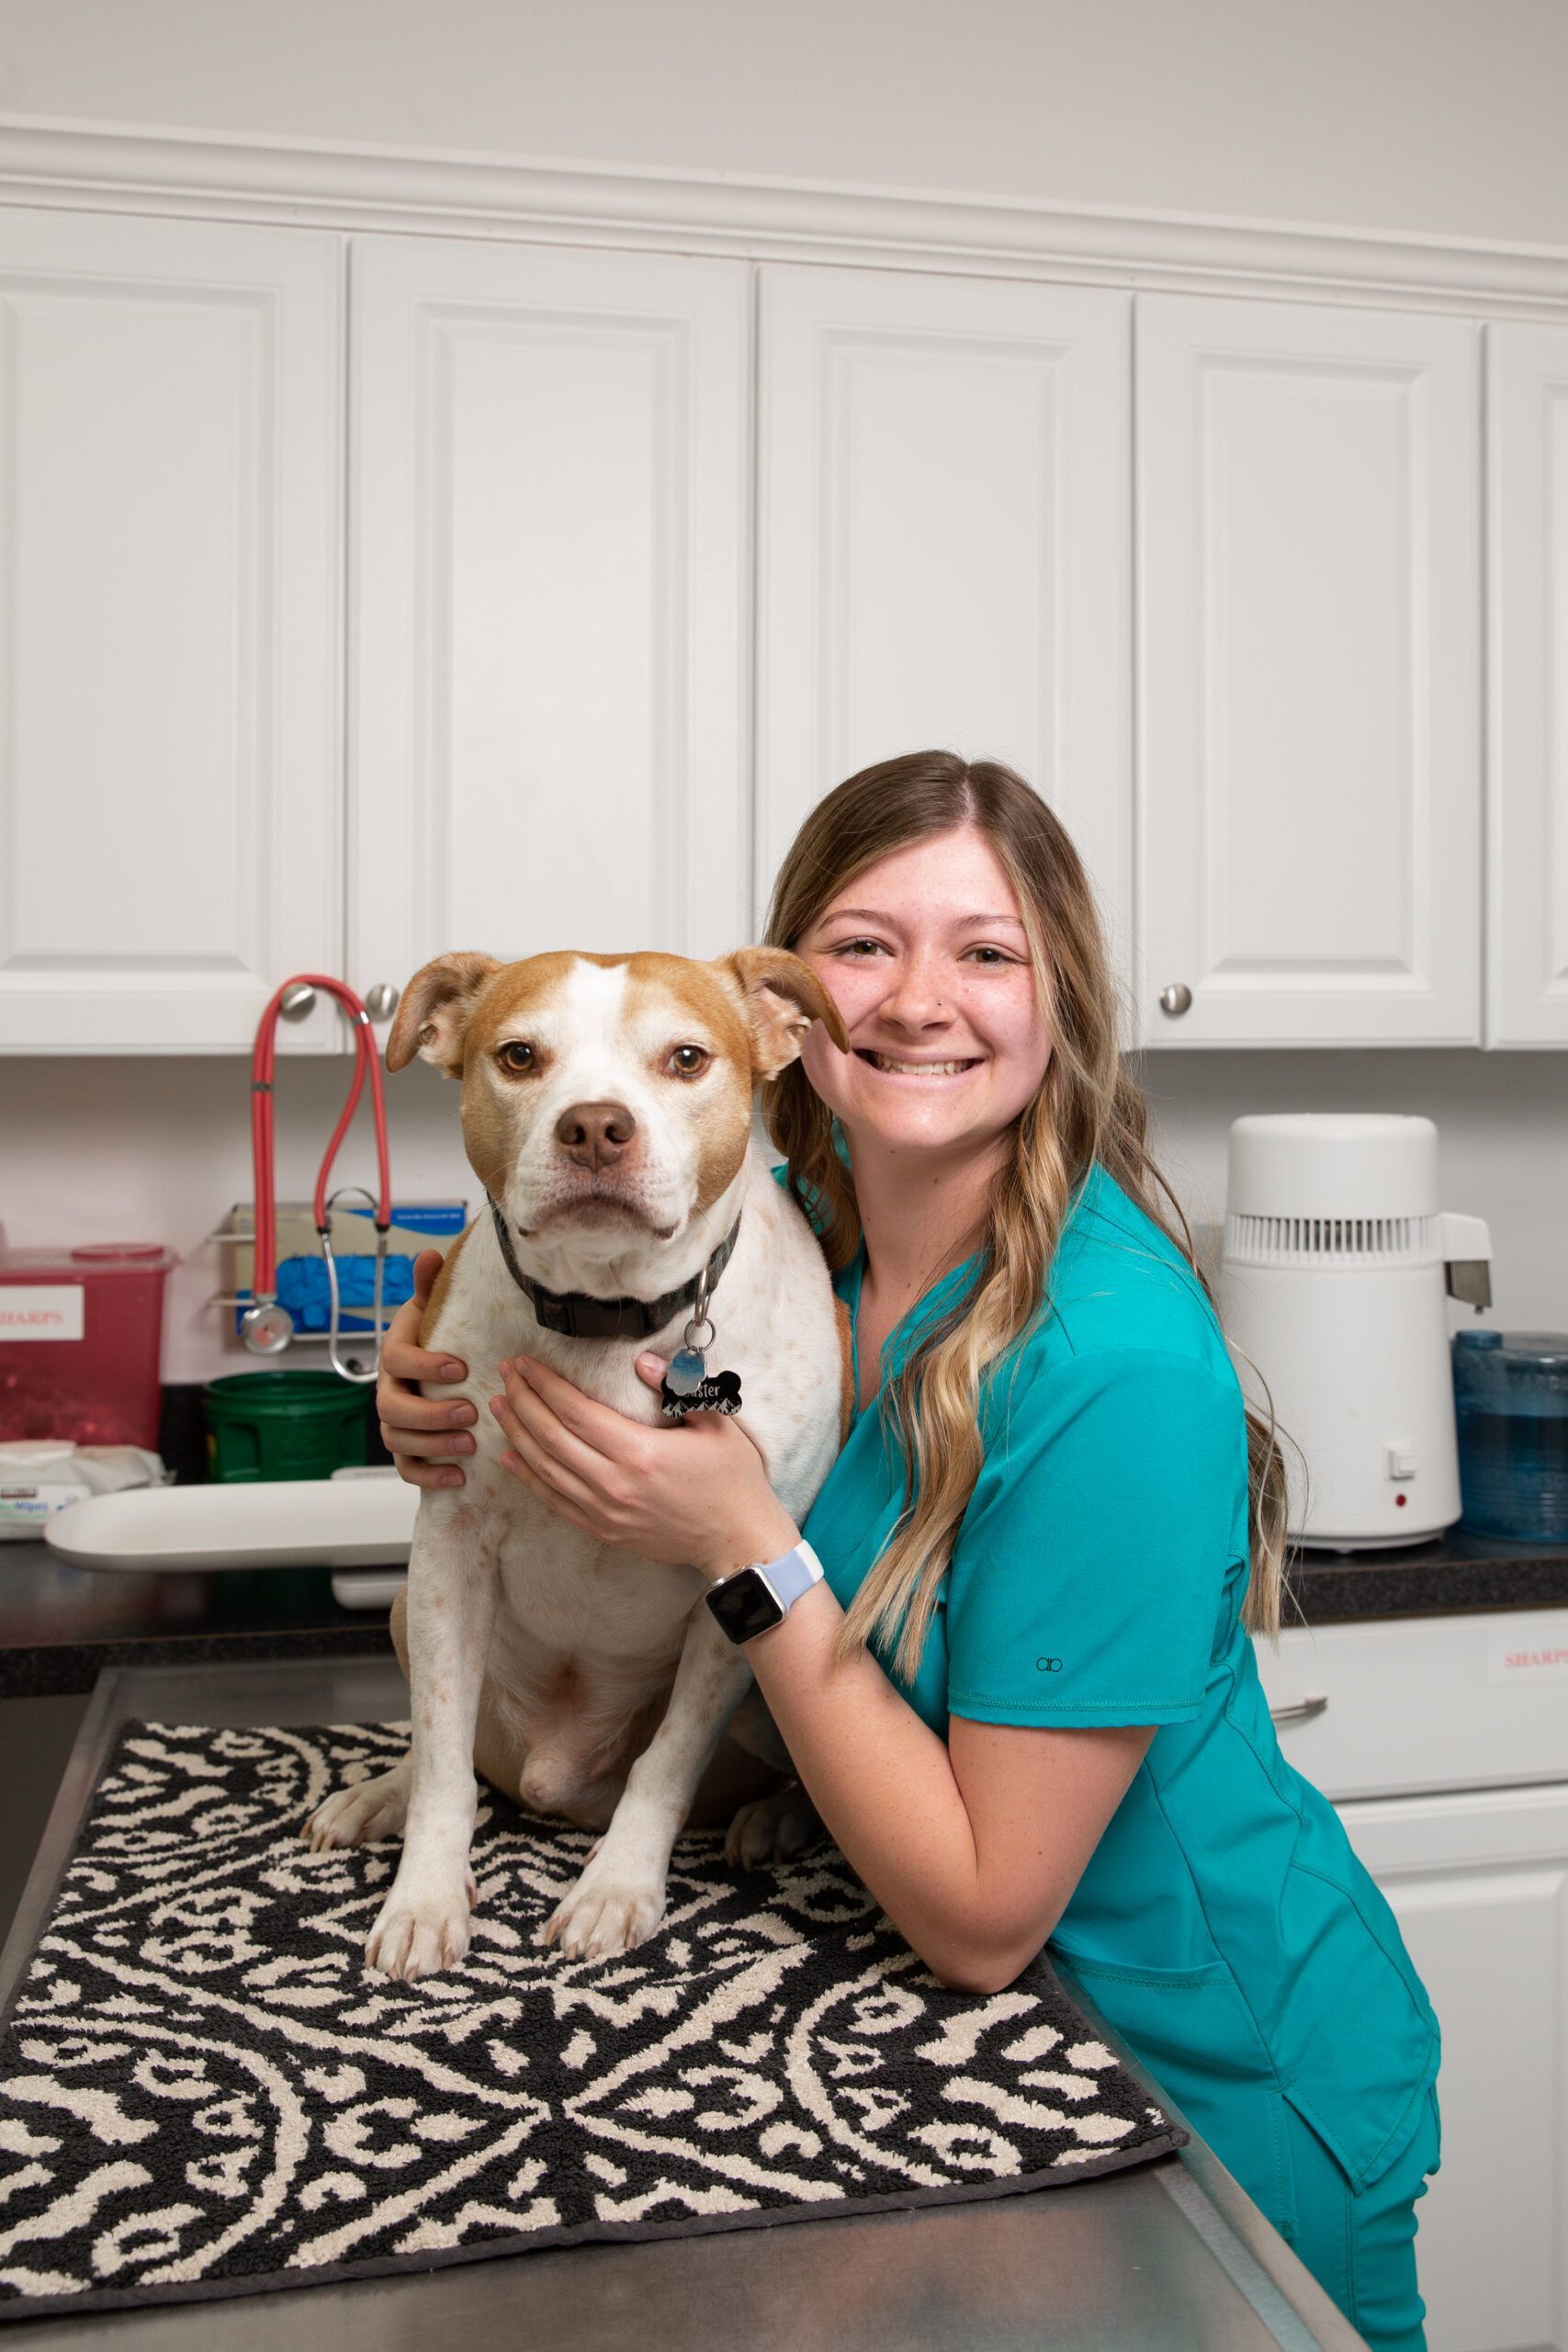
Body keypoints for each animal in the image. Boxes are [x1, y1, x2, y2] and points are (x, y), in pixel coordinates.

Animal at [303, 945, 851, 1975]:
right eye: (519, 1056)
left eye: (686, 1058)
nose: (596, 1126)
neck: (609, 1315)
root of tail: (555, 1776)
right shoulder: (450, 1547)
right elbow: (443, 1756)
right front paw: (423, 1899)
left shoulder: (738, 1577)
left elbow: (666, 1760)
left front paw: (616, 1889)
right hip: (411, 1608)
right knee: (450, 1749)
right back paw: (378, 1795)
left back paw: (772, 1820)